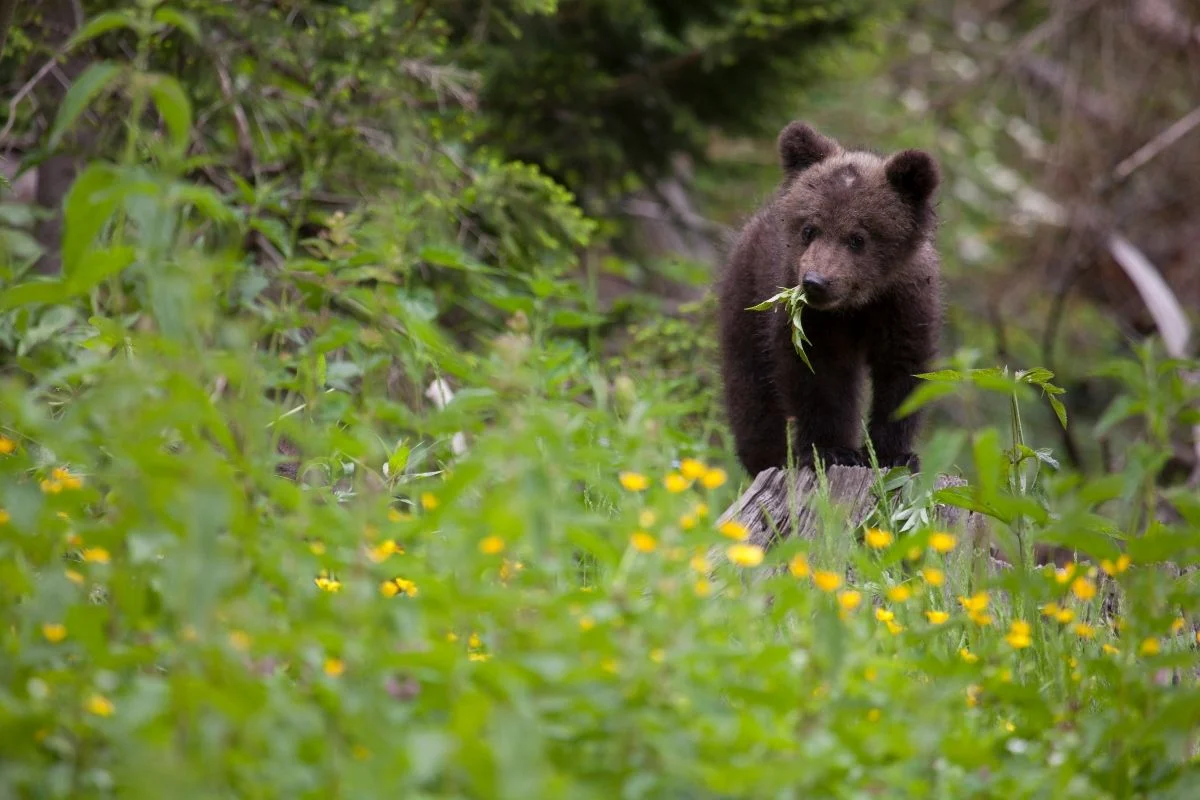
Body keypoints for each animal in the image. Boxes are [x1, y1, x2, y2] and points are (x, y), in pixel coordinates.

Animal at [715, 120, 942, 477]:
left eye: (857, 238)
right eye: (810, 229)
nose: (815, 282)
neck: (855, 306)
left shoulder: (904, 305)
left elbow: (903, 373)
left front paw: (894, 453)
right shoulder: (810, 320)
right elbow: (815, 376)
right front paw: (831, 450)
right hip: (745, 303)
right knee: (752, 394)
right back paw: (770, 458)